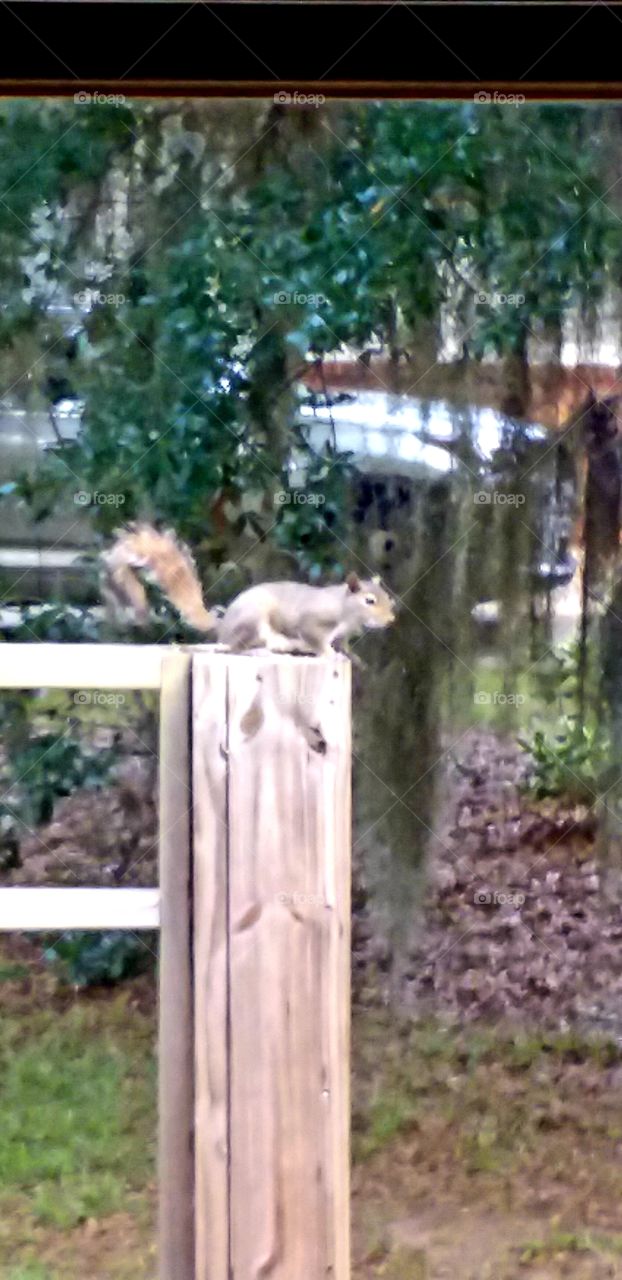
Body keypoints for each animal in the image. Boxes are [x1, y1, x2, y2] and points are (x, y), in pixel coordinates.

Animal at [102, 524, 396, 657]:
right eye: (370, 601)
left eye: (388, 598)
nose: (391, 619)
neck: (343, 608)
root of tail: (224, 626)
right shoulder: (312, 621)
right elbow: (316, 640)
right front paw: (330, 655)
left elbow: (341, 642)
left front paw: (347, 654)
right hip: (254, 619)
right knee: (240, 646)